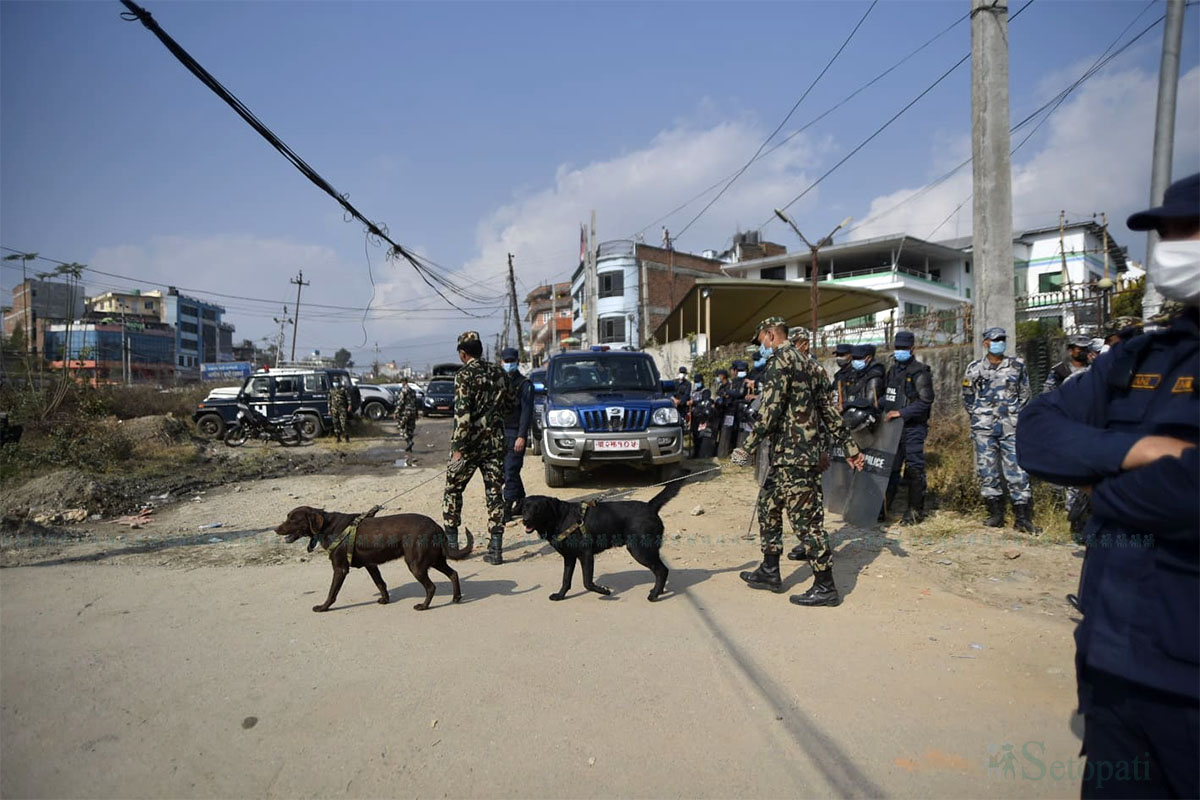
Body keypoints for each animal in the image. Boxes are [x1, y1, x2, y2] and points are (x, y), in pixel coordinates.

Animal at [518, 482, 681, 599]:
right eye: (525, 508)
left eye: (538, 508)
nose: (525, 520)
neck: (560, 518)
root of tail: (650, 506)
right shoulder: (569, 557)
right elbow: (566, 579)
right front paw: (560, 595)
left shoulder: (586, 554)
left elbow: (587, 582)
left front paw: (603, 591)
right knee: (660, 570)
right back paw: (657, 591)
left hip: (639, 550)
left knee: (662, 570)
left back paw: (654, 595)